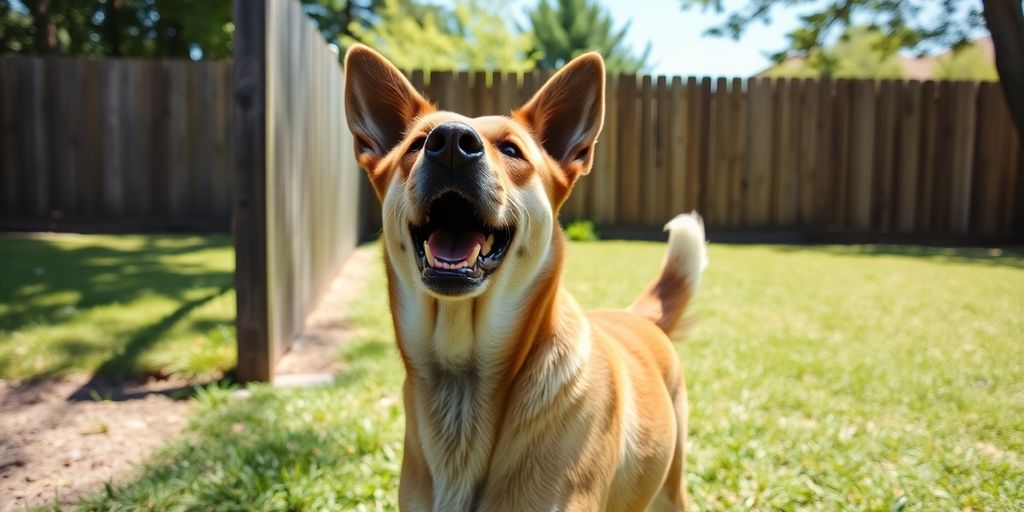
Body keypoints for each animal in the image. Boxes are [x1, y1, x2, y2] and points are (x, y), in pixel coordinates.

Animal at [342, 45, 704, 512]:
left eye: (512, 150)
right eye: (417, 144)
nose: (451, 143)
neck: (463, 378)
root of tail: (639, 318)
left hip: (671, 486)